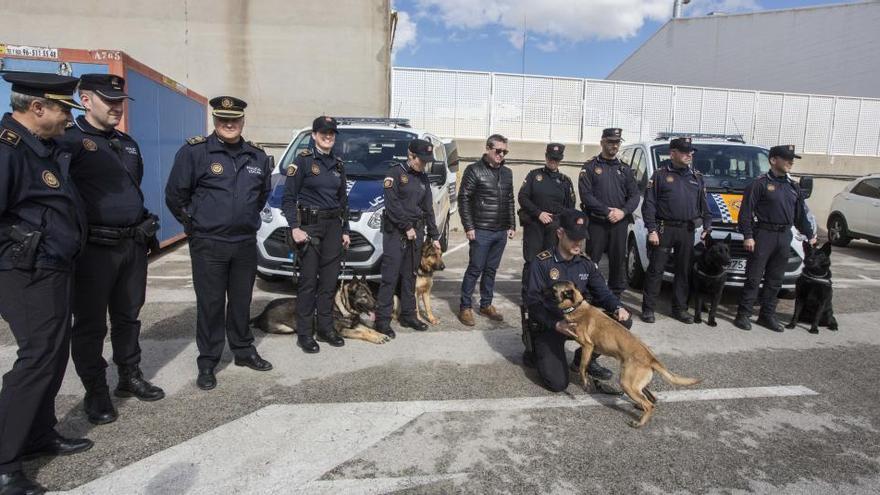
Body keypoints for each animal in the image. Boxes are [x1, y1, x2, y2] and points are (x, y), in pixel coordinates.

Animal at [244, 278, 388, 342]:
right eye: (364, 296)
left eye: (371, 294)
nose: (378, 306)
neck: (342, 307)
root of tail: (262, 312)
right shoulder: (342, 331)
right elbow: (362, 333)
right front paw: (376, 338)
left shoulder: (355, 324)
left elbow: (369, 329)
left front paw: (380, 334)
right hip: (286, 328)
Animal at [552, 280, 700, 428]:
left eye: (552, 289)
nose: (545, 287)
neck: (576, 306)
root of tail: (651, 358)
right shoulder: (592, 348)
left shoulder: (588, 345)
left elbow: (583, 367)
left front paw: (585, 382)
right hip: (636, 384)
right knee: (652, 399)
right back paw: (640, 408)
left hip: (627, 383)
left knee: (649, 404)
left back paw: (639, 422)